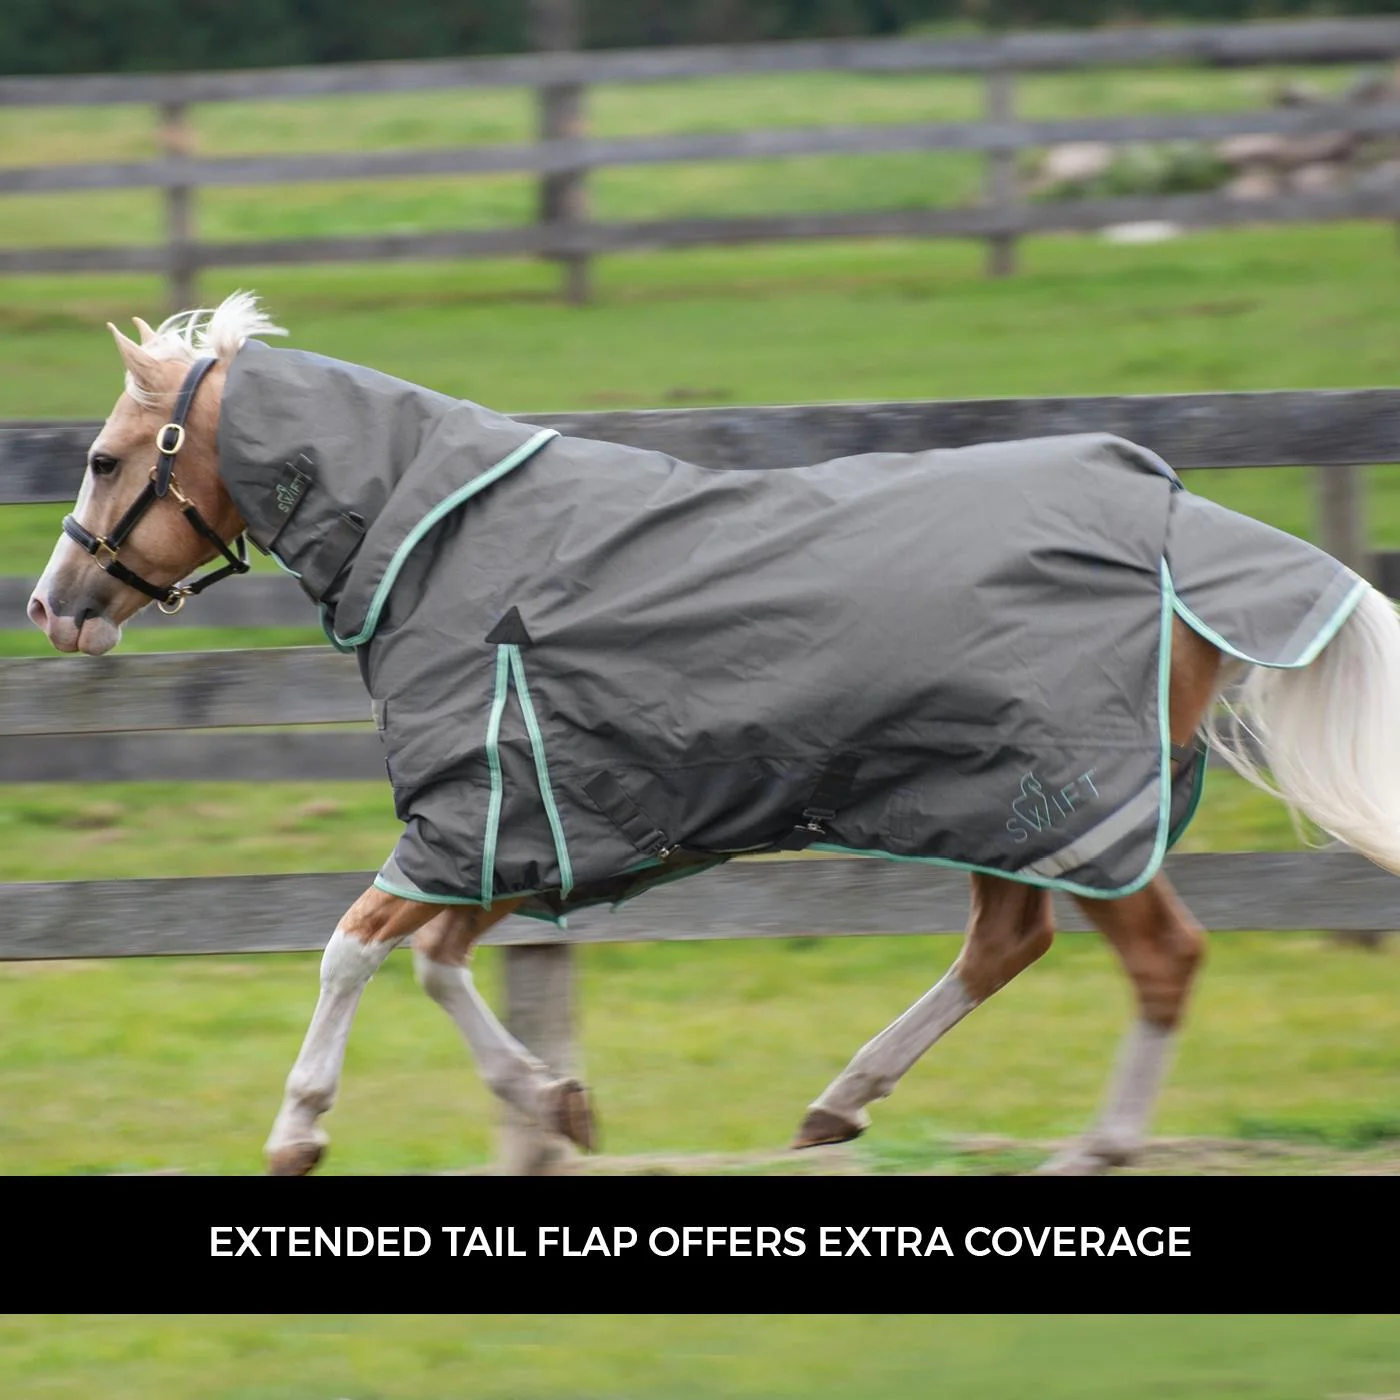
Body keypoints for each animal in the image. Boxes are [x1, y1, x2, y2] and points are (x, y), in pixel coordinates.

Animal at [26, 291, 1400, 1177]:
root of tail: (1185, 521)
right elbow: (437, 961)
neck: (440, 540)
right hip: (1001, 804)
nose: (52, 605)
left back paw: (1091, 1147)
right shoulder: (527, 820)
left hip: (1071, 802)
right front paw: (557, 1103)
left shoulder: (471, 812)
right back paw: (838, 1107)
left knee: (1158, 957)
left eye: (101, 459)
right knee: (1005, 944)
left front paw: (298, 1129)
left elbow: (354, 949)